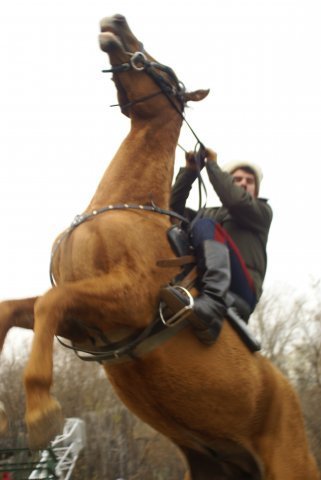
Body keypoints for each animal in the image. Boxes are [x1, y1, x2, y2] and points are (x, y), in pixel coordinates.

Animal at [0, 13, 318, 478]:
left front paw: (41, 412)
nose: (116, 22)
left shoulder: (126, 299)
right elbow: (16, 309)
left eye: (167, 72)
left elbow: (48, 303)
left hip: (292, 462)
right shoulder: (83, 322)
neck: (127, 205)